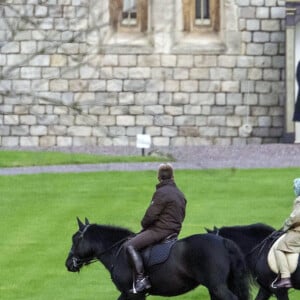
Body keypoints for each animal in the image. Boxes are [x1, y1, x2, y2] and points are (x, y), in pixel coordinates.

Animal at [66, 218, 251, 300]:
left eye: (75, 239)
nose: (68, 264)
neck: (117, 252)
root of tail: (224, 241)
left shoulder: (132, 294)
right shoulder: (129, 295)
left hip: (218, 287)